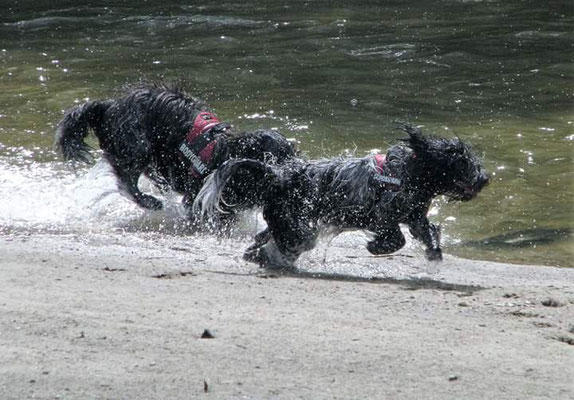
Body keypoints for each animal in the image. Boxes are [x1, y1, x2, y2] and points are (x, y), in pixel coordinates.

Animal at [55, 81, 296, 219]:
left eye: (294, 154)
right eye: (276, 157)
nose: (294, 171)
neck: (228, 153)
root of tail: (108, 106)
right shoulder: (197, 193)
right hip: (137, 146)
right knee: (126, 181)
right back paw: (149, 201)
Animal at [195, 123, 490, 270]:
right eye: (463, 162)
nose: (485, 178)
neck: (409, 173)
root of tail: (277, 174)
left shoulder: (415, 216)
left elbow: (427, 232)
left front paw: (434, 252)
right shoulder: (381, 215)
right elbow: (397, 238)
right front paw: (375, 247)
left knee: (268, 237)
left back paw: (257, 252)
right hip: (298, 224)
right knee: (291, 241)